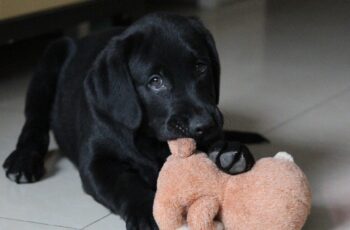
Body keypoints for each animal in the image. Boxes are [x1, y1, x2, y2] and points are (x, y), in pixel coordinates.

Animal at [2, 13, 260, 229]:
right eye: (155, 81)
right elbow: (125, 183)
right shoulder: (97, 163)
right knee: (34, 125)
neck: (150, 140)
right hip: (49, 62)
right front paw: (147, 211)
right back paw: (23, 161)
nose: (205, 125)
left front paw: (228, 151)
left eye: (201, 67)